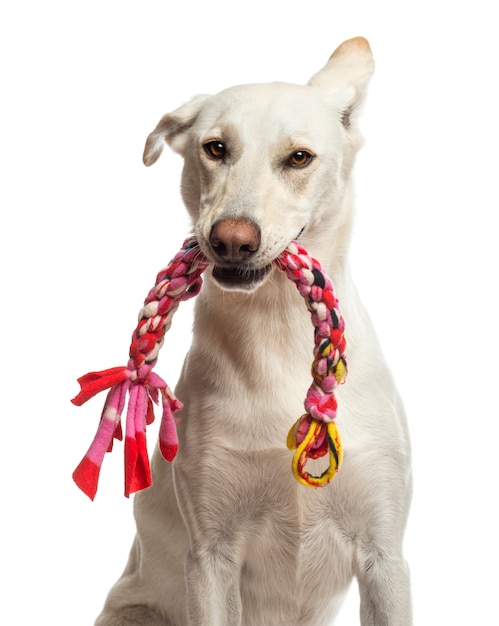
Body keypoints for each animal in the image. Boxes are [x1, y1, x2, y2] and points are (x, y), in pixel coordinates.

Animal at [95, 35, 412, 624]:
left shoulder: (385, 554)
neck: (278, 331)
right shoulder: (211, 555)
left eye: (299, 157)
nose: (232, 240)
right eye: (215, 148)